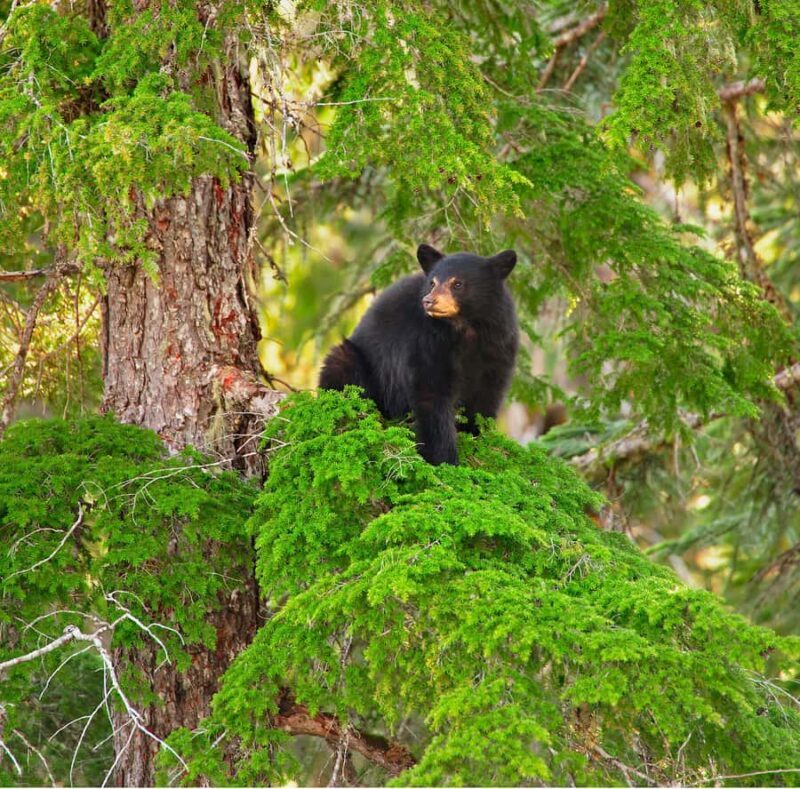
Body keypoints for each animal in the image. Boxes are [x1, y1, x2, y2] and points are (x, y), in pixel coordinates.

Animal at [318, 243, 519, 465]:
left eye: (457, 284)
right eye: (432, 282)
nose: (428, 301)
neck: (466, 330)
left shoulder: (498, 348)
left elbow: (486, 396)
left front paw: (477, 437)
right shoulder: (427, 343)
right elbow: (432, 395)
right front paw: (445, 460)